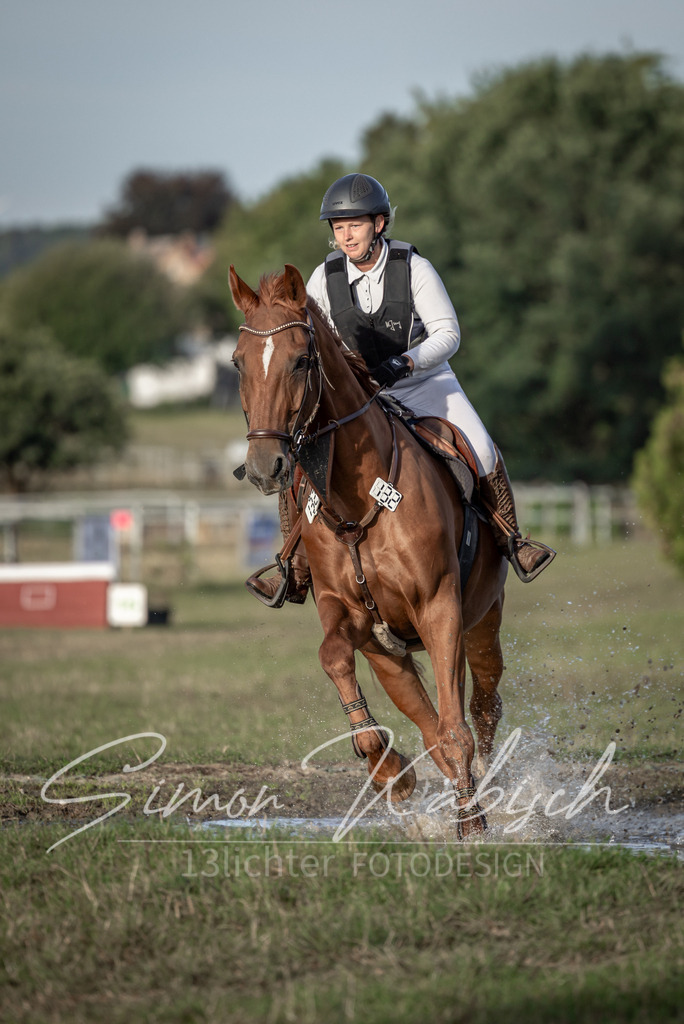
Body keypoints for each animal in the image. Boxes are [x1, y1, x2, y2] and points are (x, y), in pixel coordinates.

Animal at [229, 263, 508, 836]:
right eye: (238, 363)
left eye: (301, 359)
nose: (266, 466)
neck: (357, 500)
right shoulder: (349, 614)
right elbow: (333, 655)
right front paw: (385, 765)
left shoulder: (440, 607)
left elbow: (458, 729)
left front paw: (472, 826)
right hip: (390, 656)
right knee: (432, 725)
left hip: (482, 620)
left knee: (481, 709)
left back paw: (487, 795)